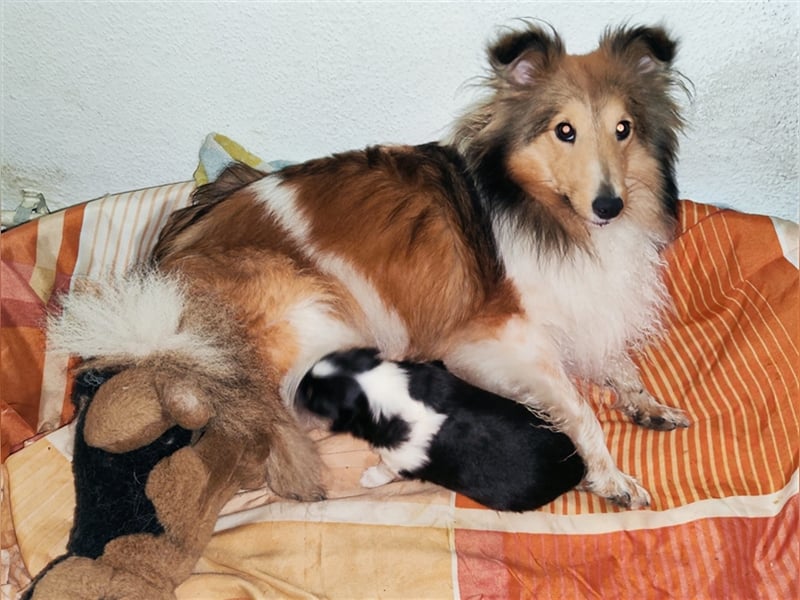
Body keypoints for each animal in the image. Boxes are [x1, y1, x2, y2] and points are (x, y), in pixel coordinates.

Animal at [296, 350, 584, 512]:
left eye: (312, 395)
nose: (297, 386)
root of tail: (577, 468)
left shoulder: (400, 458)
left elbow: (384, 469)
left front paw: (368, 478)